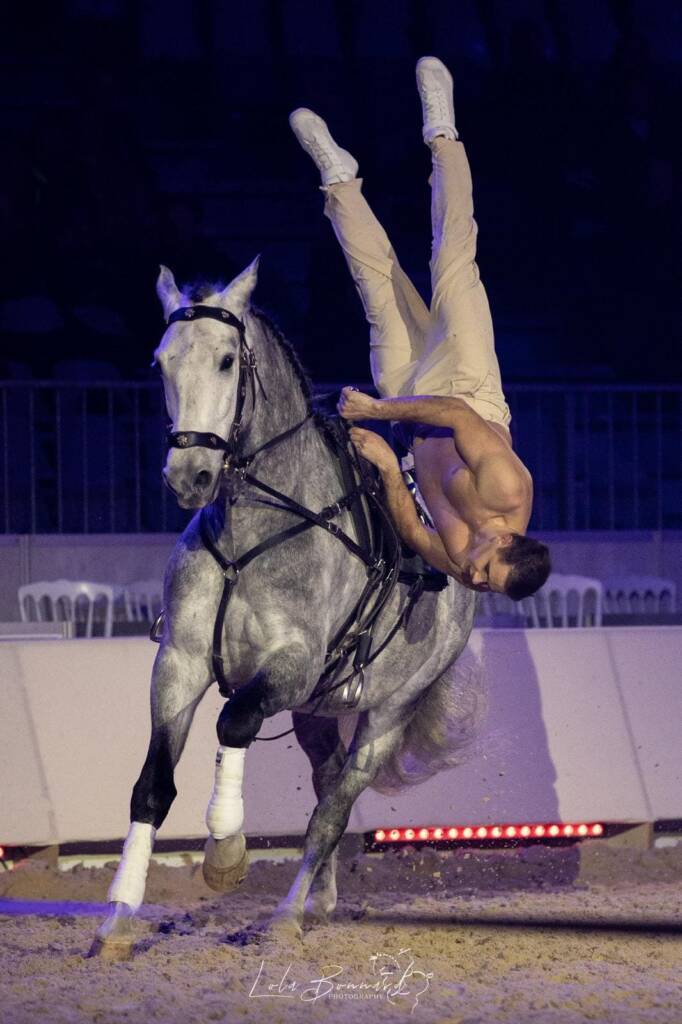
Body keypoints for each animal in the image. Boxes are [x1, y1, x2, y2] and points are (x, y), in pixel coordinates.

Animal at [90, 258, 483, 956]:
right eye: (161, 361)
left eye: (226, 360)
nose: (188, 476)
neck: (251, 534)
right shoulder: (180, 664)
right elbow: (152, 786)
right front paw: (118, 917)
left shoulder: (291, 665)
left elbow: (234, 722)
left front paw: (225, 855)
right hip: (315, 713)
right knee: (325, 785)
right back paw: (319, 898)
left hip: (385, 715)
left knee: (333, 809)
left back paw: (287, 914)